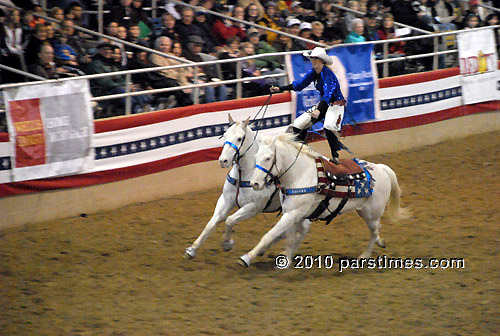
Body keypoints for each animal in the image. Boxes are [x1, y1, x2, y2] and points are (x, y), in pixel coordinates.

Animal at [186, 114, 306, 258]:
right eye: (224, 135)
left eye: (239, 138)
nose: (223, 161)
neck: (246, 173)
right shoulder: (226, 200)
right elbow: (212, 223)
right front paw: (192, 249)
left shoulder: (254, 207)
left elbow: (230, 220)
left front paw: (227, 244)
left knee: (301, 230)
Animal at [239, 134, 410, 268]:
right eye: (255, 157)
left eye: (268, 158)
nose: (255, 183)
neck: (300, 175)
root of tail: (381, 169)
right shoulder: (292, 214)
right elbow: (290, 236)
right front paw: (286, 257)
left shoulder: (293, 214)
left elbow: (270, 235)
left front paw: (247, 258)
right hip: (363, 212)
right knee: (377, 230)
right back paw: (380, 243)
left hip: (371, 214)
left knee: (374, 231)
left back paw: (365, 256)